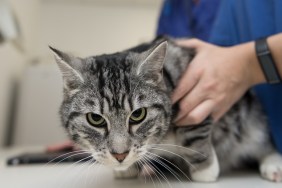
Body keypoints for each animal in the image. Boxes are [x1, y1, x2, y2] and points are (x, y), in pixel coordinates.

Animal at [49, 36, 282, 182]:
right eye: (95, 119)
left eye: (138, 115)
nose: (120, 155)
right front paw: (127, 168)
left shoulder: (199, 97)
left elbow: (195, 134)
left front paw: (205, 170)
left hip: (253, 121)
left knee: (263, 144)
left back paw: (273, 164)